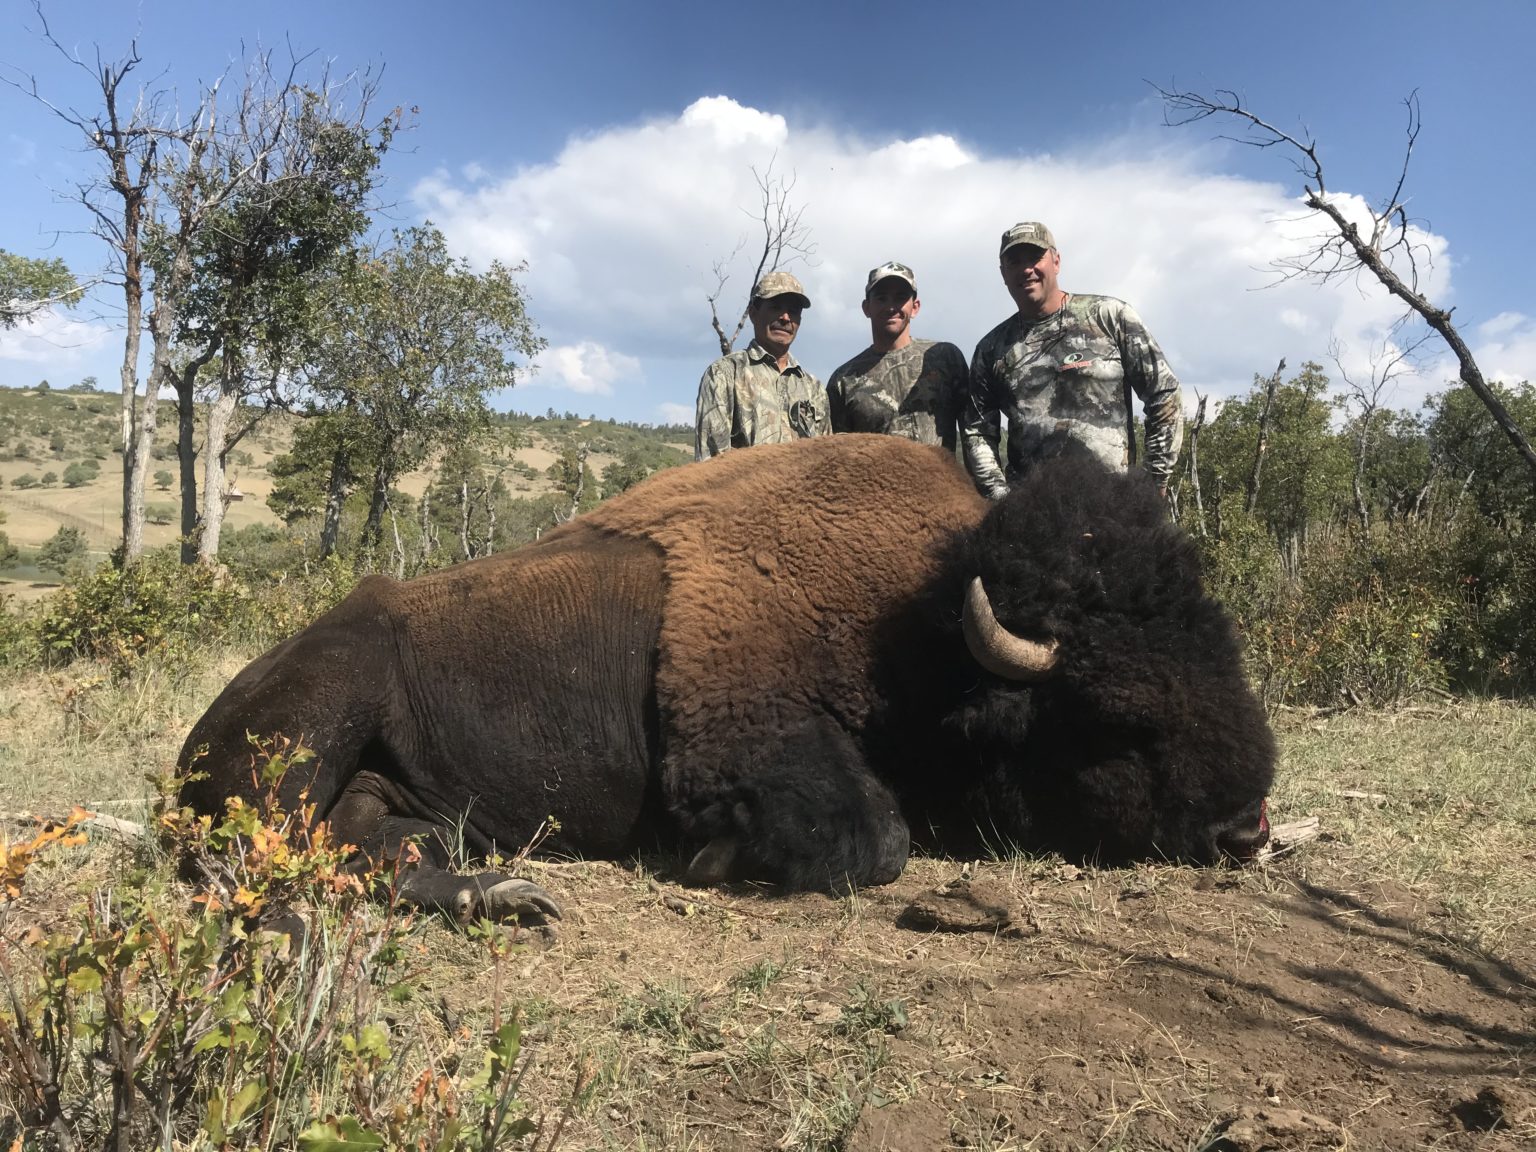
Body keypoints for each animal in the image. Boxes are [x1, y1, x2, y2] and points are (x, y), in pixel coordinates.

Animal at [178, 435, 1274, 920]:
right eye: (1115, 717)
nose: (1245, 830)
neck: (917, 620)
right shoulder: (746, 738)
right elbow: (873, 840)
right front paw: (713, 860)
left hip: (388, 786)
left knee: (369, 845)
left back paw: (506, 891)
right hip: (325, 707)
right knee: (269, 852)